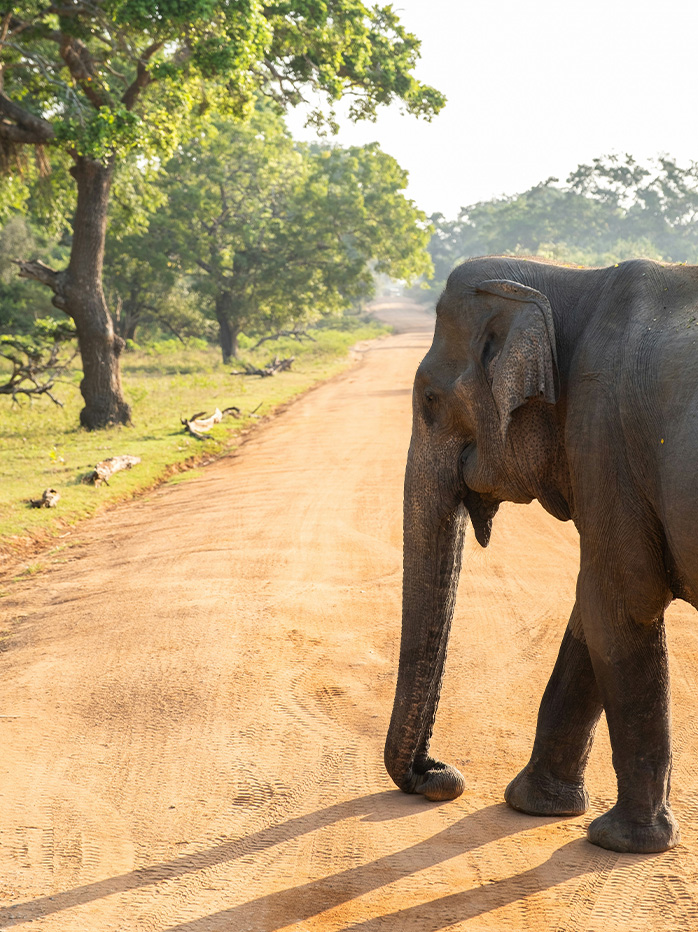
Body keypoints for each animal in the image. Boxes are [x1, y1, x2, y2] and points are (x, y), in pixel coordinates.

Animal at [384, 255, 698, 854]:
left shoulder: (604, 432)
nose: (439, 775)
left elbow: (619, 604)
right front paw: (535, 806)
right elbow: (592, 612)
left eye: (430, 401)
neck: (570, 281)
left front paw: (619, 842)